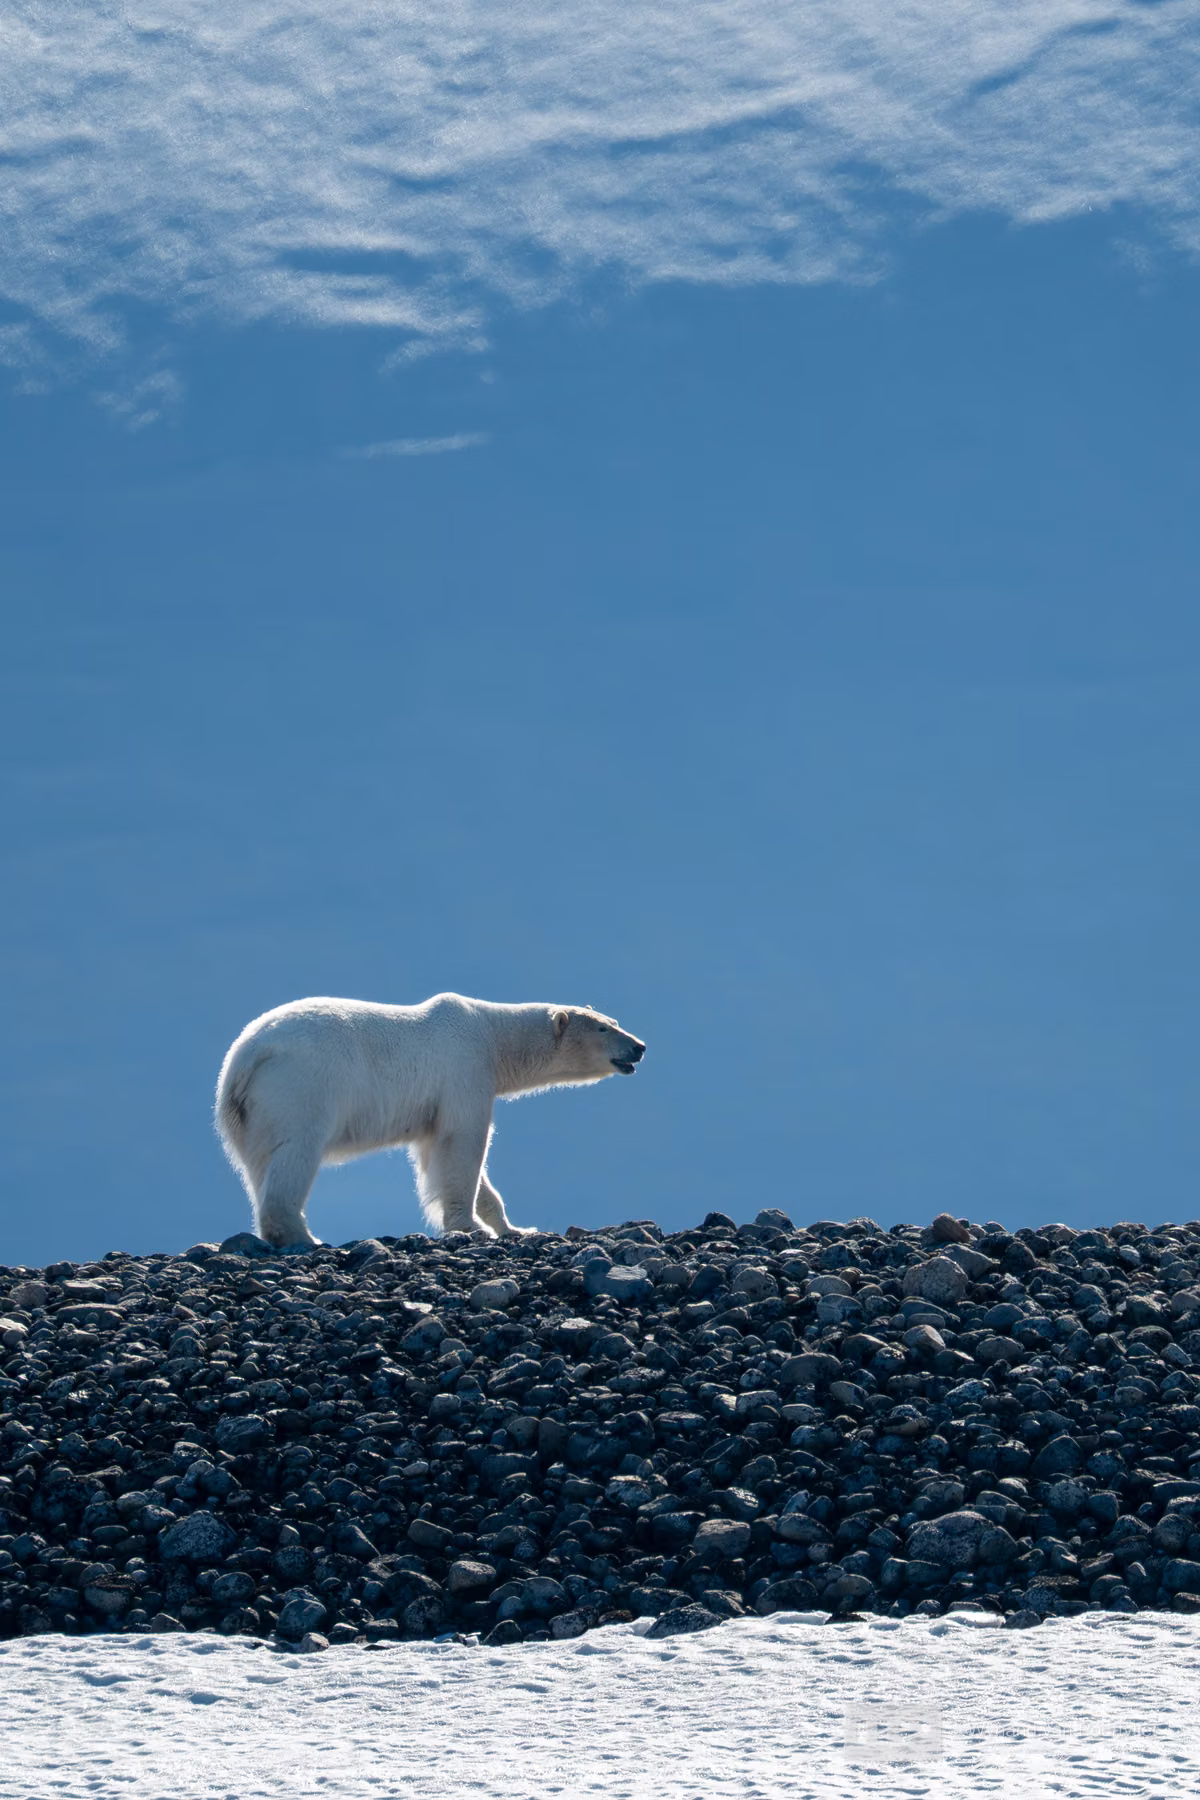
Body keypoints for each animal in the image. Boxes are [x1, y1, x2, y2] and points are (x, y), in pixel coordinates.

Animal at [215, 993, 645, 1245]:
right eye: (604, 1028)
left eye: (614, 1021)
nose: (639, 1047)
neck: (492, 1035)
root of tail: (245, 1056)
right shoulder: (464, 1069)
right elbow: (462, 1144)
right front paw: (470, 1227)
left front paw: (513, 1228)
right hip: (301, 1086)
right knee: (294, 1153)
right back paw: (304, 1236)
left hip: (249, 1114)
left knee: (258, 1166)